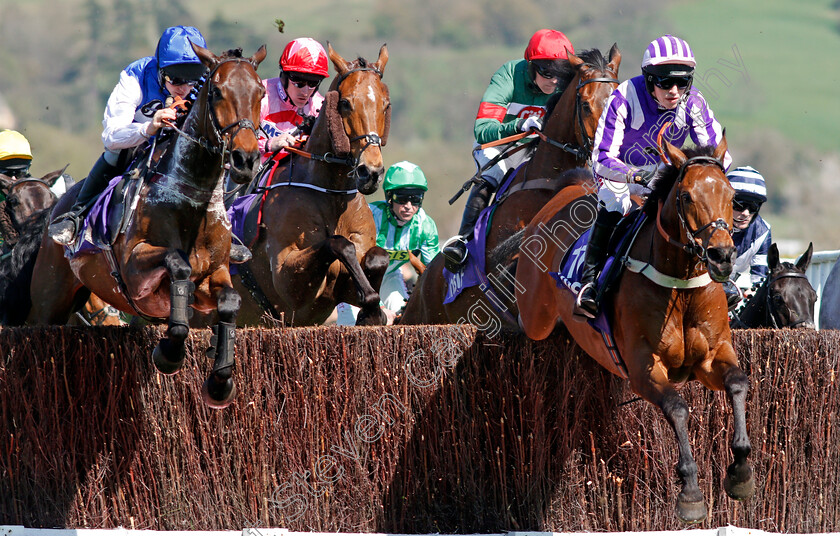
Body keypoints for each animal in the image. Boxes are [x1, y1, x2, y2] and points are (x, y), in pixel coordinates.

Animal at [26, 44, 268, 408]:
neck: (190, 197)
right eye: (217, 92)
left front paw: (220, 381)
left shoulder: (216, 271)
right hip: (47, 299)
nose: (246, 160)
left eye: (260, 92)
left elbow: (229, 302)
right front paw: (169, 353)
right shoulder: (135, 268)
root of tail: (55, 206)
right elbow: (178, 265)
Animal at [231, 43, 392, 326]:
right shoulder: (289, 282)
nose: (371, 172)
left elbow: (378, 257)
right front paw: (372, 307)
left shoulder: (343, 287)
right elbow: (339, 244)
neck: (331, 193)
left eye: (385, 105)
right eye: (345, 103)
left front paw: (372, 311)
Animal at [516, 137, 756, 520]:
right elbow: (677, 407)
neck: (680, 285)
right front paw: (690, 492)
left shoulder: (712, 356)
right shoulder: (643, 369)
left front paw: (741, 473)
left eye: (732, 196)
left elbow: (737, 383)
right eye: (686, 196)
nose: (721, 256)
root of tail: (567, 189)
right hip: (534, 312)